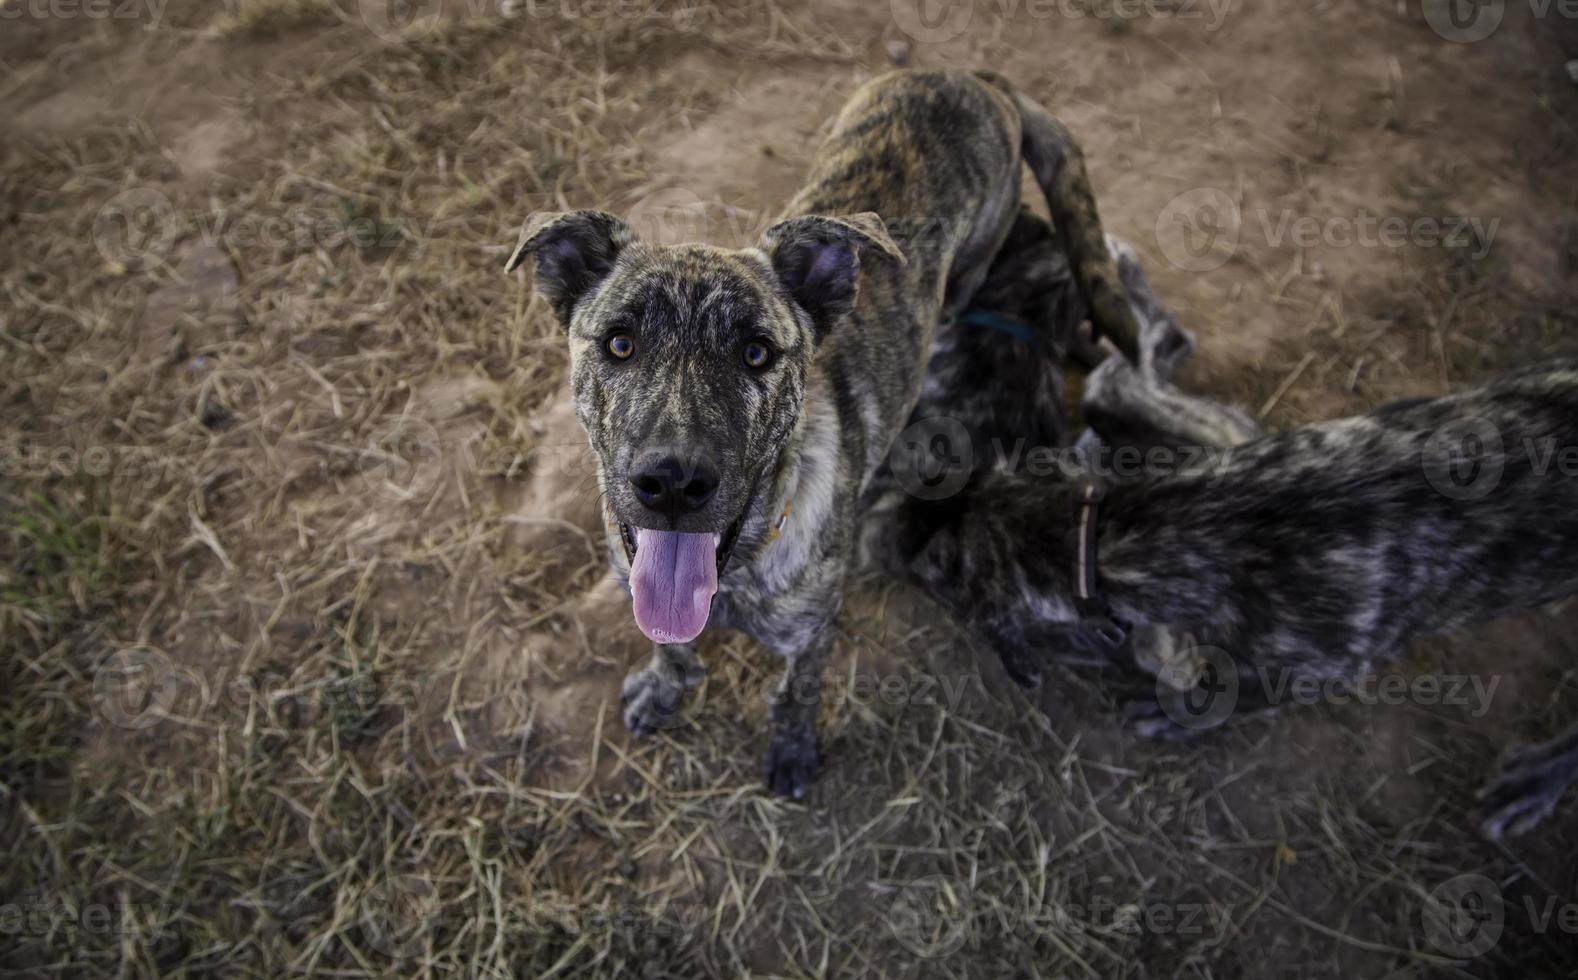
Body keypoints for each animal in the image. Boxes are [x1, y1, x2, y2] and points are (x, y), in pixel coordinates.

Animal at [501, 72, 1136, 798]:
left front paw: (793, 750)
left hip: (974, 257)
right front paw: (665, 689)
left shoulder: (813, 632)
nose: (673, 483)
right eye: (619, 343)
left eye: (757, 353)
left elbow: (796, 692)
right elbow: (668, 641)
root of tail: (973, 75)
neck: (734, 571)